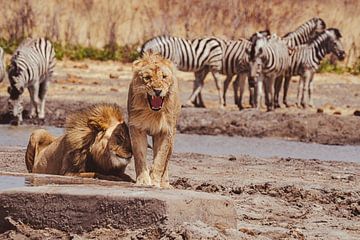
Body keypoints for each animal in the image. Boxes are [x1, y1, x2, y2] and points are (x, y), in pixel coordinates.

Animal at [128, 51, 181, 188]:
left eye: (164, 77)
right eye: (147, 78)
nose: (157, 91)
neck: (152, 113)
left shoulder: (166, 132)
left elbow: (160, 160)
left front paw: (155, 182)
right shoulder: (136, 128)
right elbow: (139, 156)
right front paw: (143, 181)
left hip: (172, 138)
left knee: (166, 162)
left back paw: (165, 184)